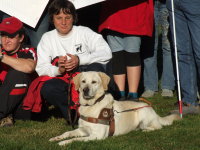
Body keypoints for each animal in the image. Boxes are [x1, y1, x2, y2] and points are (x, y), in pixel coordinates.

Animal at [49, 71, 180, 145]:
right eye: (83, 81)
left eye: (94, 82)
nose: (85, 90)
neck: (92, 105)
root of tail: (155, 112)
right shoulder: (83, 129)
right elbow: (68, 132)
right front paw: (57, 138)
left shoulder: (96, 136)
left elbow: (76, 140)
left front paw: (64, 142)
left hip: (143, 113)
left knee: (158, 127)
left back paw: (145, 130)